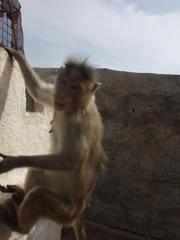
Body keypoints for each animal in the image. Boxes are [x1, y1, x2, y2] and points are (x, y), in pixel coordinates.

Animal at [0, 47, 106, 240]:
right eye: (64, 82)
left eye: (75, 87)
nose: (62, 94)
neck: (73, 108)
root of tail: (78, 213)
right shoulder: (55, 98)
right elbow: (39, 91)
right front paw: (16, 54)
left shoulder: (78, 124)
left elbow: (72, 161)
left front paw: (15, 161)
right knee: (37, 170)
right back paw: (20, 196)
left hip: (63, 212)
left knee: (38, 196)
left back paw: (19, 226)